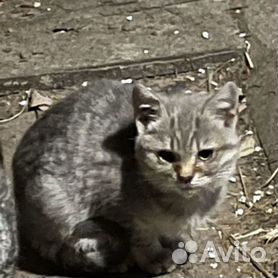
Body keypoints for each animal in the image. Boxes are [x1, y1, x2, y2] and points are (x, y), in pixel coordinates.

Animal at [12, 79, 239, 274]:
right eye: (166, 155)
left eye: (205, 154)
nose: (185, 177)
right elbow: (142, 236)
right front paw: (154, 257)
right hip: (52, 201)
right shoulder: (122, 213)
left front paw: (178, 241)